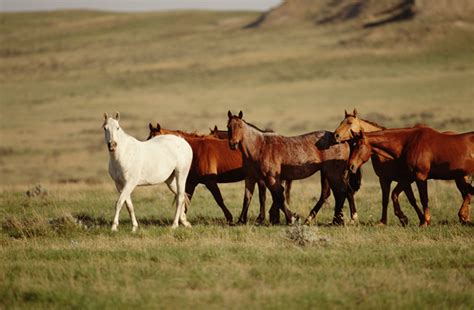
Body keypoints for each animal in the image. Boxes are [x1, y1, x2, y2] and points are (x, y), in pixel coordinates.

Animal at [226, 111, 360, 225]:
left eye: (240, 126)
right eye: (228, 127)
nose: (233, 144)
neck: (260, 147)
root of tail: (341, 140)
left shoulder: (271, 178)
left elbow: (279, 197)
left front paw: (292, 218)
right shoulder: (250, 178)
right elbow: (247, 198)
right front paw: (241, 220)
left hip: (333, 174)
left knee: (342, 192)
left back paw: (341, 220)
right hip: (329, 174)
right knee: (341, 193)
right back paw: (336, 220)